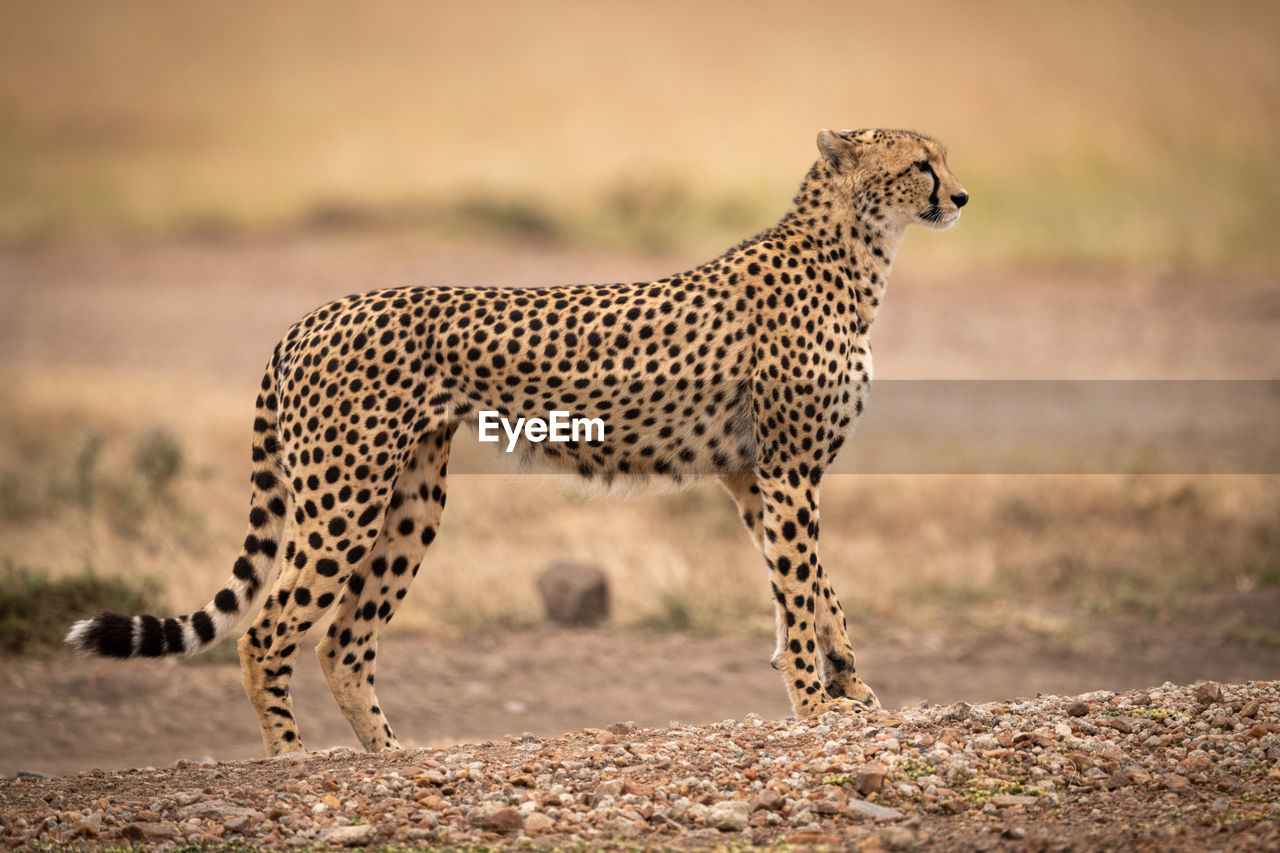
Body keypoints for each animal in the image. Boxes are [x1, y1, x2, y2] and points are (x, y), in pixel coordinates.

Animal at [64, 129, 962, 753]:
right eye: (922, 162)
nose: (959, 196)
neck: (853, 252)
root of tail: (312, 314)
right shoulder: (785, 469)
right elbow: (804, 591)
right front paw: (815, 704)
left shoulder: (752, 474)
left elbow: (814, 590)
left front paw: (851, 691)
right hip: (345, 497)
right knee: (267, 629)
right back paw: (292, 758)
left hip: (411, 499)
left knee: (345, 640)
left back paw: (389, 755)